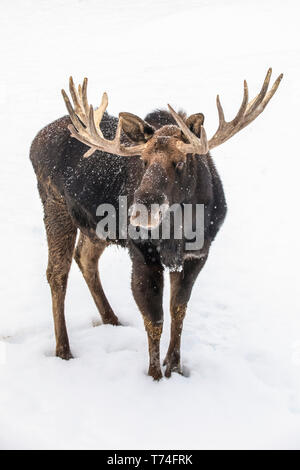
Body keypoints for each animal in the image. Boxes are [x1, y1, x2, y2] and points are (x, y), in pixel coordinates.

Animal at [31, 68, 284, 380]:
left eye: (181, 161)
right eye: (143, 159)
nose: (140, 210)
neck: (179, 232)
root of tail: (35, 140)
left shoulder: (198, 254)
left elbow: (178, 309)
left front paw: (174, 366)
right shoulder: (142, 252)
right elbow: (154, 318)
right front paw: (154, 376)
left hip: (94, 227)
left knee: (85, 258)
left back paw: (111, 319)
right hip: (53, 203)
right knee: (56, 273)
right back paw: (64, 350)